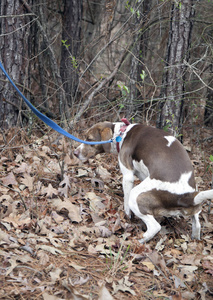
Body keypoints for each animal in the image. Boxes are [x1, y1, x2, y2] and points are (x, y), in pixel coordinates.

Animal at [73, 120, 213, 243]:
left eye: (89, 139)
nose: (74, 153)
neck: (121, 134)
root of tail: (188, 196)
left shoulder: (128, 175)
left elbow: (126, 203)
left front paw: (127, 216)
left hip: (136, 196)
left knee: (155, 227)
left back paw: (139, 240)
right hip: (195, 206)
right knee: (197, 224)